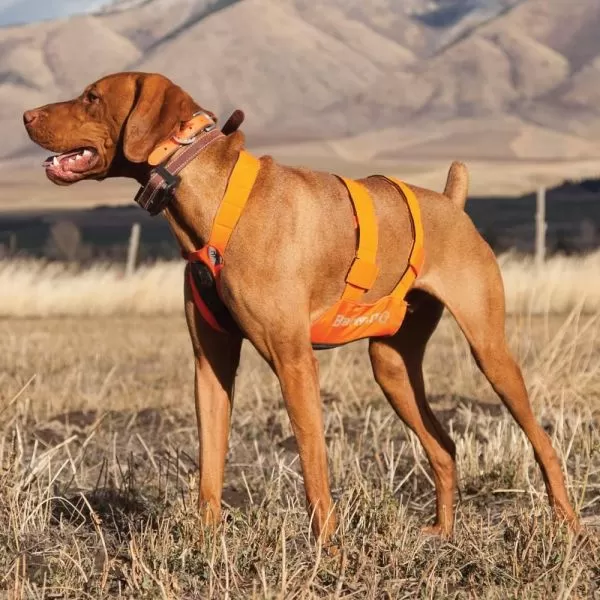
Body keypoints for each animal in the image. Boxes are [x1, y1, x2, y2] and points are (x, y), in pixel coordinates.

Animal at [23, 72, 580, 548]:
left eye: (92, 96)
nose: (25, 115)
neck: (212, 199)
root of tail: (453, 202)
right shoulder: (210, 365)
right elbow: (209, 467)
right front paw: (205, 545)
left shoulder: (294, 361)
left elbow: (313, 465)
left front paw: (328, 551)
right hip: (392, 366)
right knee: (443, 446)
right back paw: (443, 533)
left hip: (490, 351)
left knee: (542, 441)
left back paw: (568, 526)